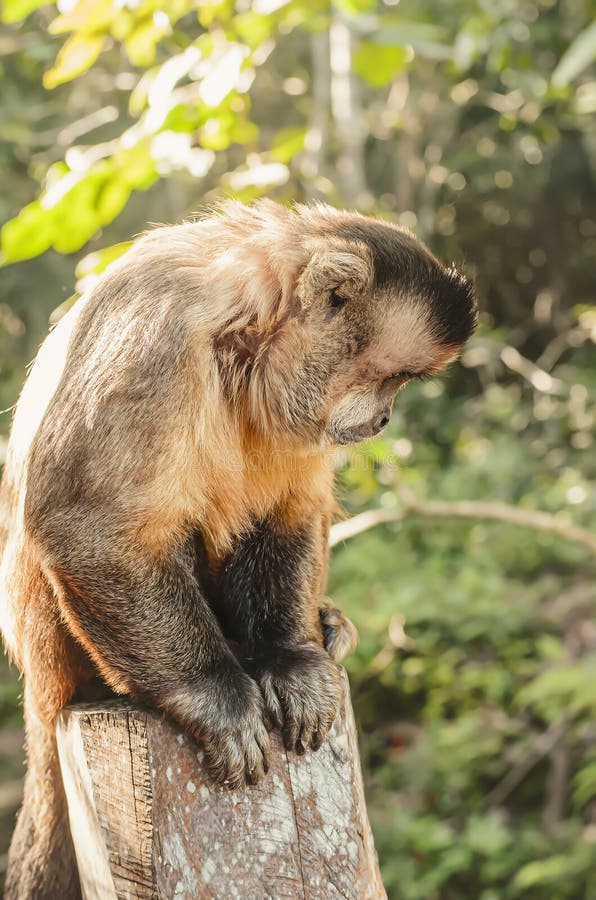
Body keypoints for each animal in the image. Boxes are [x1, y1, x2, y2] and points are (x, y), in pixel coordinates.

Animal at [0, 200, 474, 896]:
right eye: (393, 378)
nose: (385, 418)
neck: (242, 336)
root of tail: (40, 683)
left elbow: (289, 511)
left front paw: (291, 660)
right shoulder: (155, 337)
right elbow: (87, 525)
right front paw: (212, 695)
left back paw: (321, 627)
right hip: (60, 647)